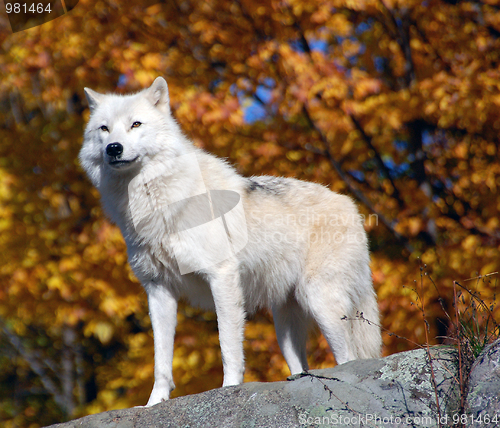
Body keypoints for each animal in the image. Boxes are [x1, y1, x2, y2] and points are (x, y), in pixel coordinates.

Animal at [80, 77, 380, 408]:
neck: (153, 202)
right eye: (104, 129)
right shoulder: (158, 290)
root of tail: (349, 204)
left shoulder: (221, 276)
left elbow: (228, 343)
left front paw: (229, 390)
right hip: (285, 326)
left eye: (135, 124)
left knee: (348, 357)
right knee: (301, 367)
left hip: (322, 303)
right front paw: (154, 403)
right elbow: (160, 359)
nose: (114, 148)